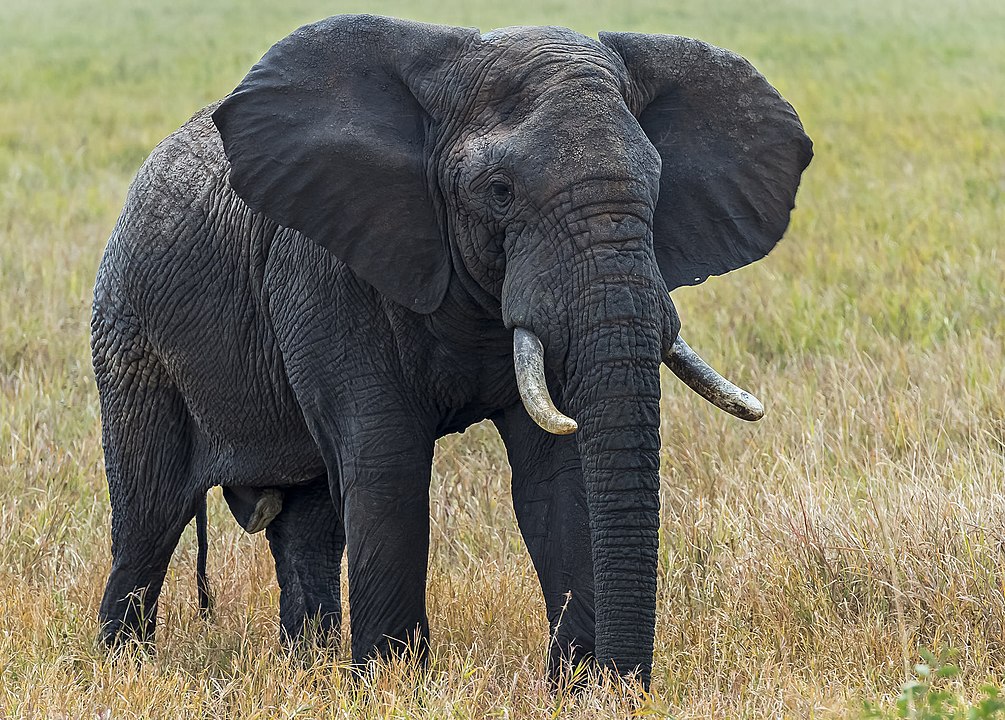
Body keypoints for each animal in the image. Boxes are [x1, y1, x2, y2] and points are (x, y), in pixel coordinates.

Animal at [88, 12, 808, 687]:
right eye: (499, 191)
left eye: (657, 185)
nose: (627, 686)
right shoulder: (326, 271)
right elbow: (388, 467)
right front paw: (393, 687)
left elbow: (557, 477)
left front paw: (578, 691)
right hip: (130, 336)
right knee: (151, 519)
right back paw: (125, 668)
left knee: (307, 528)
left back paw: (307, 669)